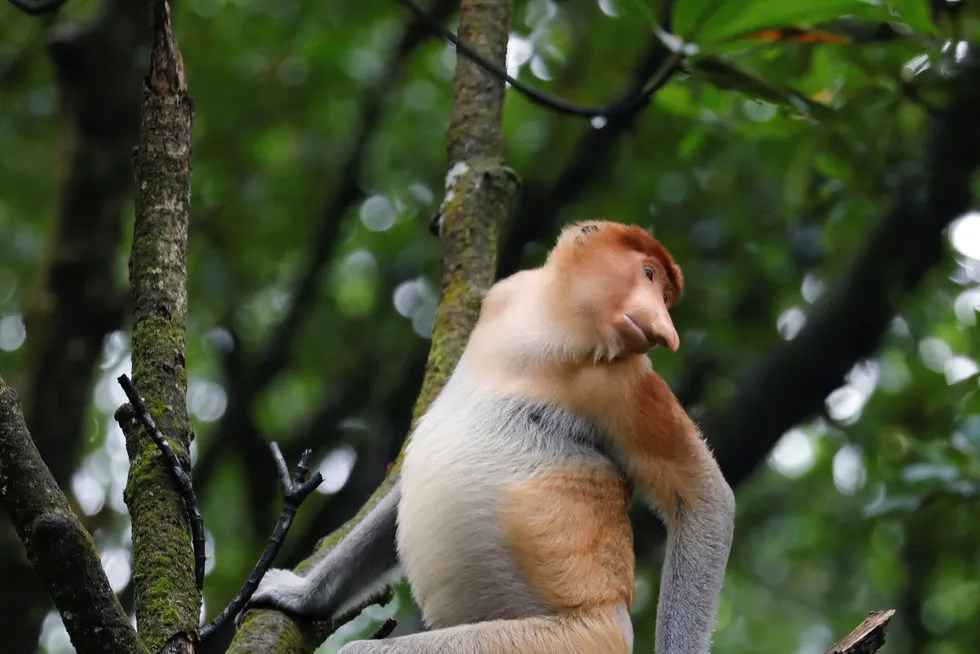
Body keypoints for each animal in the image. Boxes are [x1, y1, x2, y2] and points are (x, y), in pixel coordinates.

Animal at [245, 222, 736, 654]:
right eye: (650, 276)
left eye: (665, 295)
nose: (664, 326)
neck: (550, 327)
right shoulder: (505, 296)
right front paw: (302, 596)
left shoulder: (623, 384)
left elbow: (703, 496)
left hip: (574, 640)